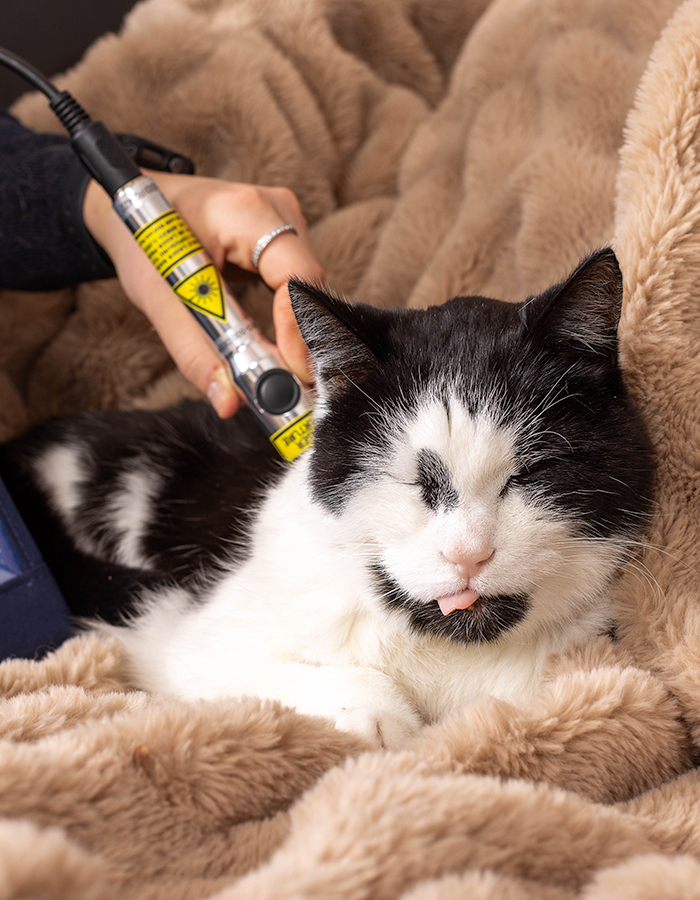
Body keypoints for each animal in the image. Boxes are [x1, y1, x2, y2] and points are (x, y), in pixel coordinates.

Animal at [1, 250, 656, 748]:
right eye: (410, 480)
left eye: (531, 473)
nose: (468, 555)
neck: (445, 655)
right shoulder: (189, 643)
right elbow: (298, 679)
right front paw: (379, 718)